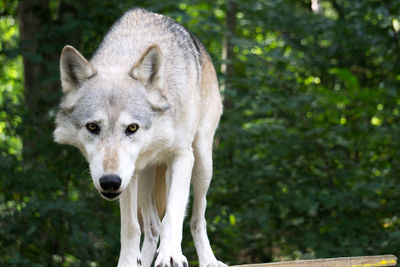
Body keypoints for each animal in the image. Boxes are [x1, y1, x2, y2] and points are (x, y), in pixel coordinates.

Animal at [54, 7, 225, 267]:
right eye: (93, 127)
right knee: (152, 227)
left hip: (202, 162)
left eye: (132, 128)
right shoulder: (128, 175)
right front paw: (127, 262)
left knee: (197, 218)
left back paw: (208, 260)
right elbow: (130, 228)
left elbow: (174, 214)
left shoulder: (182, 156)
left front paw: (171, 255)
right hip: (144, 177)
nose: (110, 181)